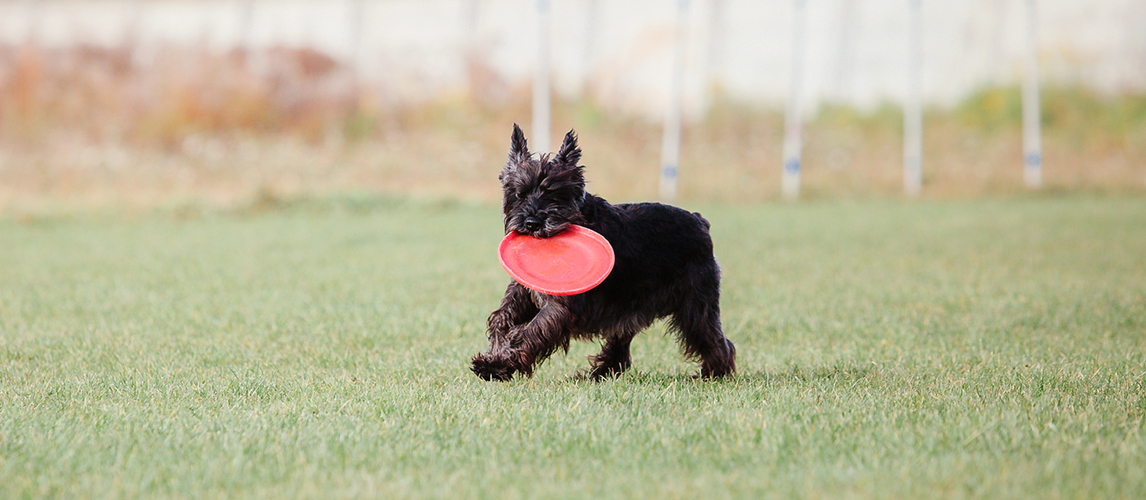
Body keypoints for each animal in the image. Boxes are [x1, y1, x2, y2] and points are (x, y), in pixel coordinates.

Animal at [469, 123, 738, 378]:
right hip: (634, 304)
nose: (533, 223)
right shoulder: (524, 290)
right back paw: (600, 373)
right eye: (519, 193)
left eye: (555, 195)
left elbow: (532, 332)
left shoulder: (560, 307)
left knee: (712, 337)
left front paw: (498, 365)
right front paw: (495, 356)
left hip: (694, 304)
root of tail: (699, 221)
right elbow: (501, 317)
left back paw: (715, 373)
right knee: (622, 340)